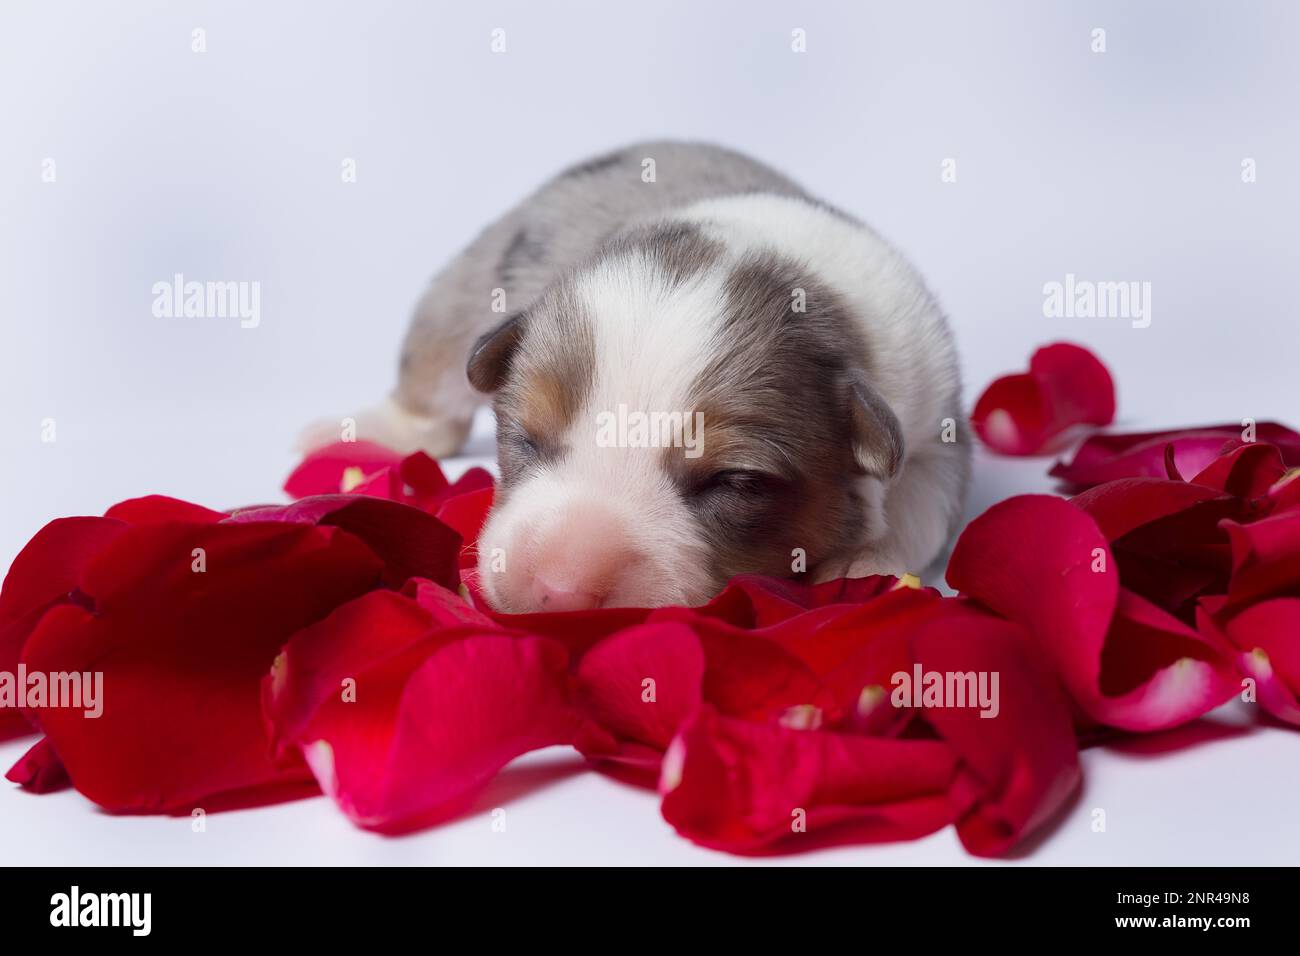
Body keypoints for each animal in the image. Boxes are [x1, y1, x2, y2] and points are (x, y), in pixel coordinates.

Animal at [304, 140, 972, 613]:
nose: (556, 592)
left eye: (734, 481)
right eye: (526, 440)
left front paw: (864, 565)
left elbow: (922, 499)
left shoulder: (933, 415)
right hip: (467, 288)